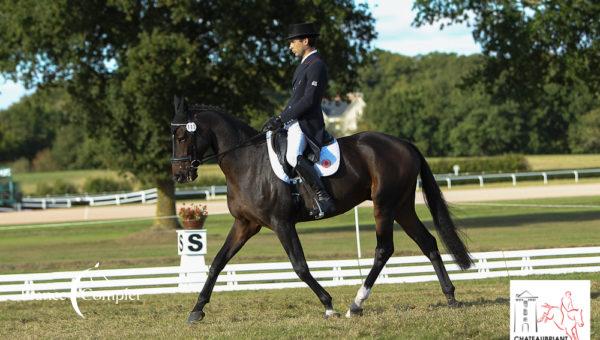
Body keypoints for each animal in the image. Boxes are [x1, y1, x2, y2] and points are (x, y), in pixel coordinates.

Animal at [170, 99, 474, 322]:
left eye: (183, 135)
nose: (179, 175)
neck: (247, 162)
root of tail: (405, 144)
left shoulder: (281, 223)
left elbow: (300, 266)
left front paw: (328, 305)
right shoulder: (245, 224)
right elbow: (217, 263)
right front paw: (196, 310)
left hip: (384, 206)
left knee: (384, 249)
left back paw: (356, 304)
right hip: (401, 206)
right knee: (428, 242)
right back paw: (450, 296)